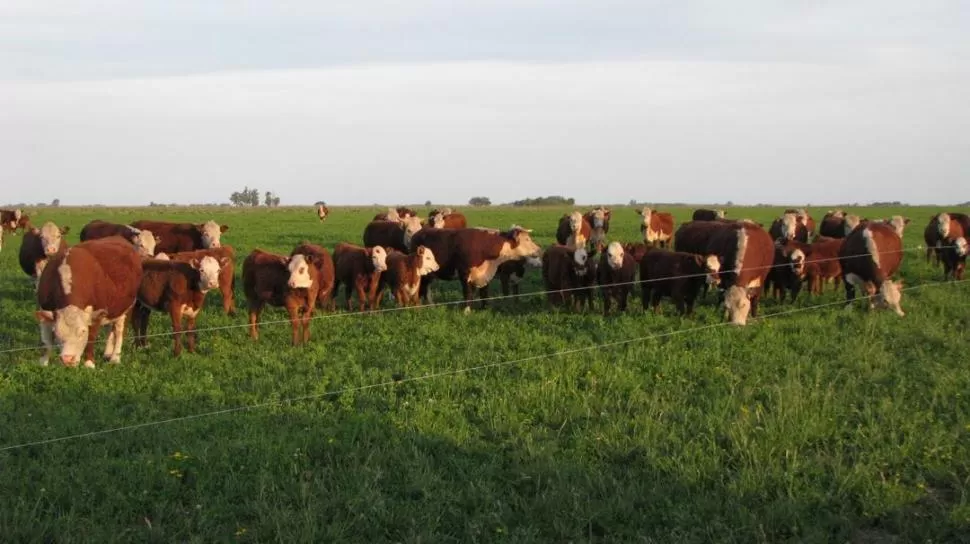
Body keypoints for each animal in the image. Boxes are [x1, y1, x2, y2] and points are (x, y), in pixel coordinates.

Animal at [34, 237, 142, 368]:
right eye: (57, 333)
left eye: (82, 331)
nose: (67, 359)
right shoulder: (44, 311)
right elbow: (46, 340)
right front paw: (43, 362)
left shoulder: (96, 313)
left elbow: (91, 337)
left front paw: (89, 363)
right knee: (110, 329)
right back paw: (107, 353)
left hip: (127, 307)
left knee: (120, 331)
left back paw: (115, 358)